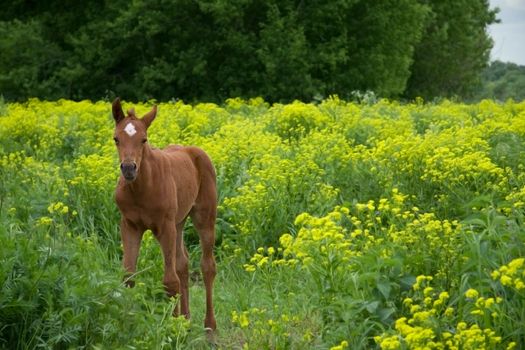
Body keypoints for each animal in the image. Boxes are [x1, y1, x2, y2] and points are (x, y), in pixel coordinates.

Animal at [110, 98, 217, 330]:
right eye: (116, 139)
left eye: (144, 139)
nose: (129, 168)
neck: (142, 188)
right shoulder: (130, 225)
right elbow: (128, 276)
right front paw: (128, 322)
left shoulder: (164, 226)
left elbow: (170, 280)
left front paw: (171, 326)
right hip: (179, 222)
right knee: (183, 263)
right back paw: (186, 319)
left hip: (204, 217)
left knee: (207, 266)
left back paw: (210, 326)